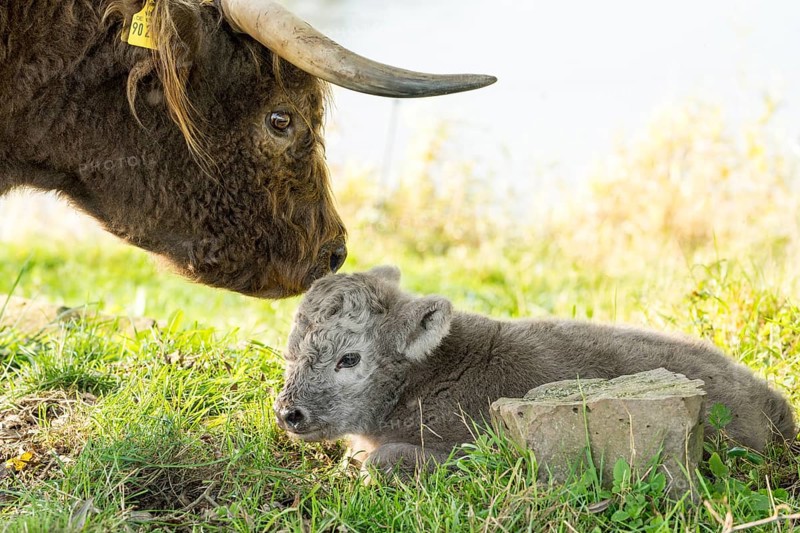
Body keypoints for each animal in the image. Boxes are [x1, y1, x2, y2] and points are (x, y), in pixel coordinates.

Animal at [275, 266, 795, 474]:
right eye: (290, 351)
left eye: (349, 359)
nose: (288, 414)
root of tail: (773, 402)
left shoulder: (468, 449)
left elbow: (377, 463)